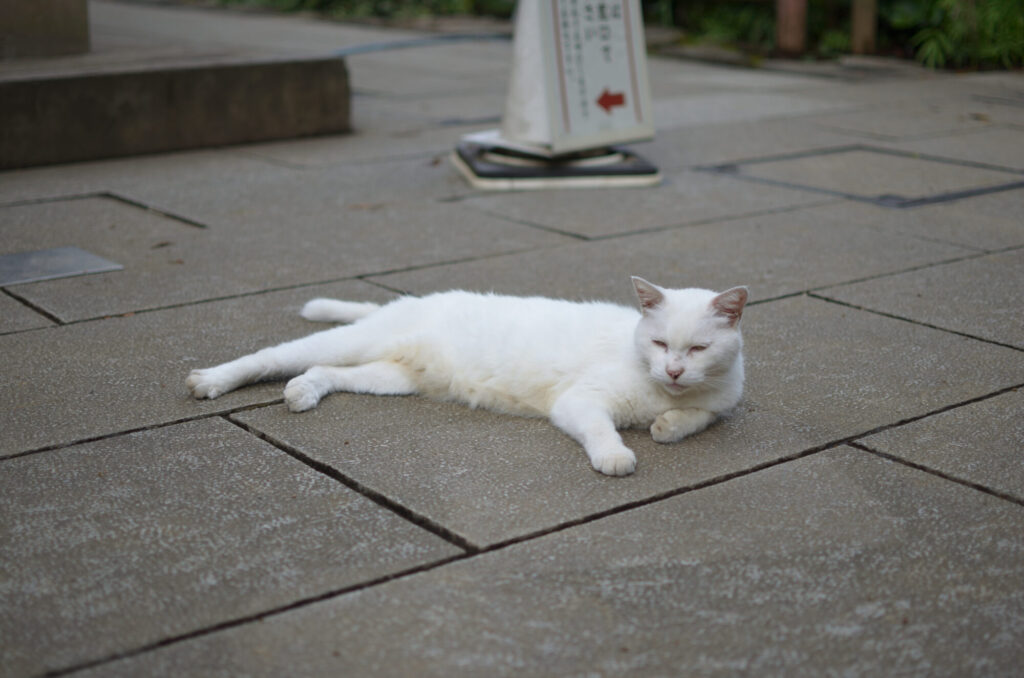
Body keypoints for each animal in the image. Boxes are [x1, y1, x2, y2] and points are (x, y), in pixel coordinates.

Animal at [186, 278, 745, 477]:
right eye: (659, 344)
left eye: (698, 349)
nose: (674, 370)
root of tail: (407, 302)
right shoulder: (579, 402)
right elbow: (603, 431)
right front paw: (617, 456)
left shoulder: (721, 402)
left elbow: (698, 416)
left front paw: (667, 426)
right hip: (348, 343)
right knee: (271, 356)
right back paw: (209, 380)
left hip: (392, 377)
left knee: (322, 372)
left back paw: (301, 393)